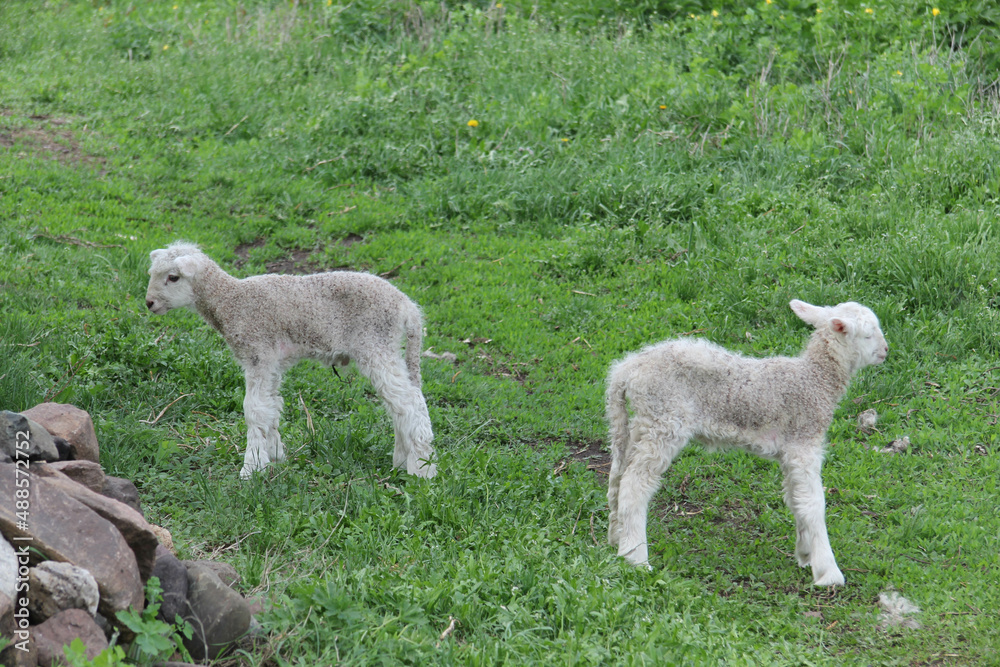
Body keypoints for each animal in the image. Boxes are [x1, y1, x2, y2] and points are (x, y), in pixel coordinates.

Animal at [145, 241, 437, 480]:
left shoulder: (258, 353)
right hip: (387, 346)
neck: (230, 301)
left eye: (173, 277)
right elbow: (271, 406)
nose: (149, 303)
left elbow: (253, 409)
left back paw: (422, 468)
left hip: (374, 343)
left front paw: (251, 468)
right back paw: (402, 460)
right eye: (152, 274)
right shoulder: (272, 362)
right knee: (400, 404)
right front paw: (274, 456)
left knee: (409, 403)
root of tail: (407, 306)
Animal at [605, 299, 888, 586]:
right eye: (867, 335)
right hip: (665, 421)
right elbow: (813, 504)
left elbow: (795, 499)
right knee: (634, 485)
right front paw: (828, 571)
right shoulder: (804, 444)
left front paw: (805, 553)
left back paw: (619, 542)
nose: (886, 350)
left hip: (641, 425)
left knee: (617, 478)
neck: (814, 380)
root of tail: (626, 371)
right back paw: (637, 559)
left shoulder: (790, 453)